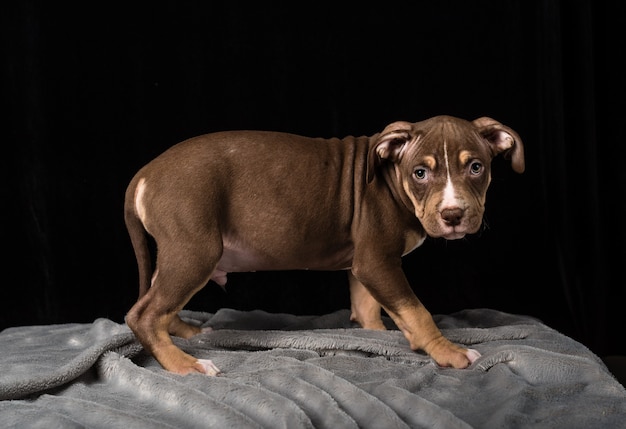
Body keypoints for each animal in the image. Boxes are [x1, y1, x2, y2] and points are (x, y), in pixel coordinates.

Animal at [122, 114, 520, 374]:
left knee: (157, 299)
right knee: (144, 313)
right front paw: (446, 351)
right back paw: (185, 364)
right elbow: (416, 310)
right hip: (195, 251)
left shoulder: (363, 264)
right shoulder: (377, 262)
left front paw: (377, 336)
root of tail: (144, 174)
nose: (454, 214)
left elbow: (369, 307)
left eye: (476, 168)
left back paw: (186, 332)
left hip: (179, 254)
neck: (390, 177)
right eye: (420, 173)